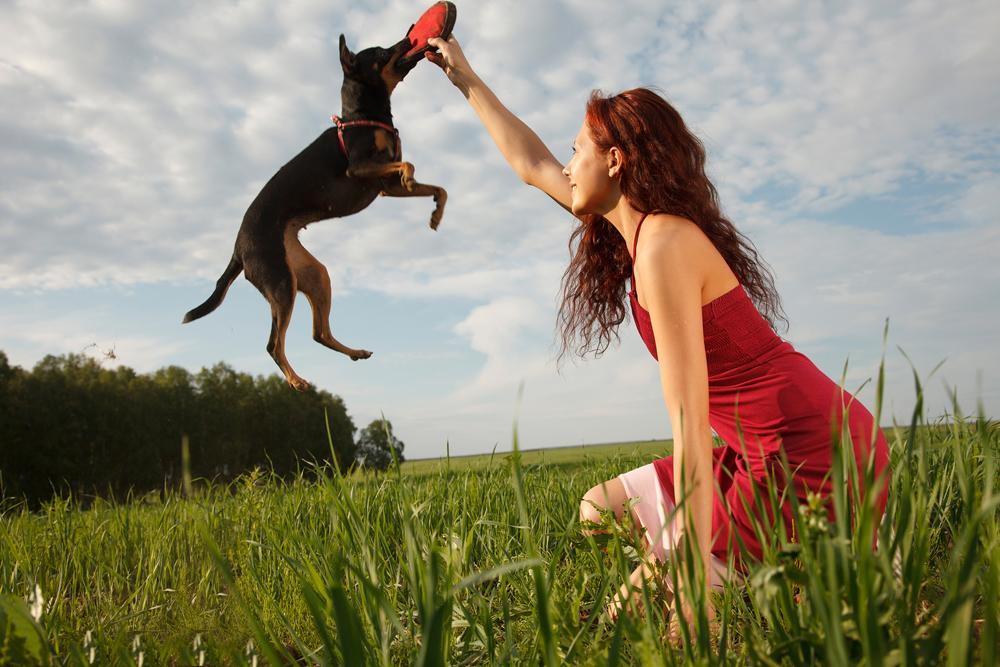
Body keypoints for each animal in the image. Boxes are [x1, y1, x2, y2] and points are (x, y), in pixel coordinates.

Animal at [181, 35, 446, 392]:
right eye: (381, 52)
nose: (407, 38)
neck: (361, 117)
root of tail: (238, 249)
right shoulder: (360, 169)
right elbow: (409, 165)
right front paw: (416, 184)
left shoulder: (385, 187)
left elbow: (436, 187)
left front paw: (436, 214)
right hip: (281, 284)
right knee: (273, 344)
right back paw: (296, 381)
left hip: (313, 275)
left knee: (319, 333)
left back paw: (354, 352)